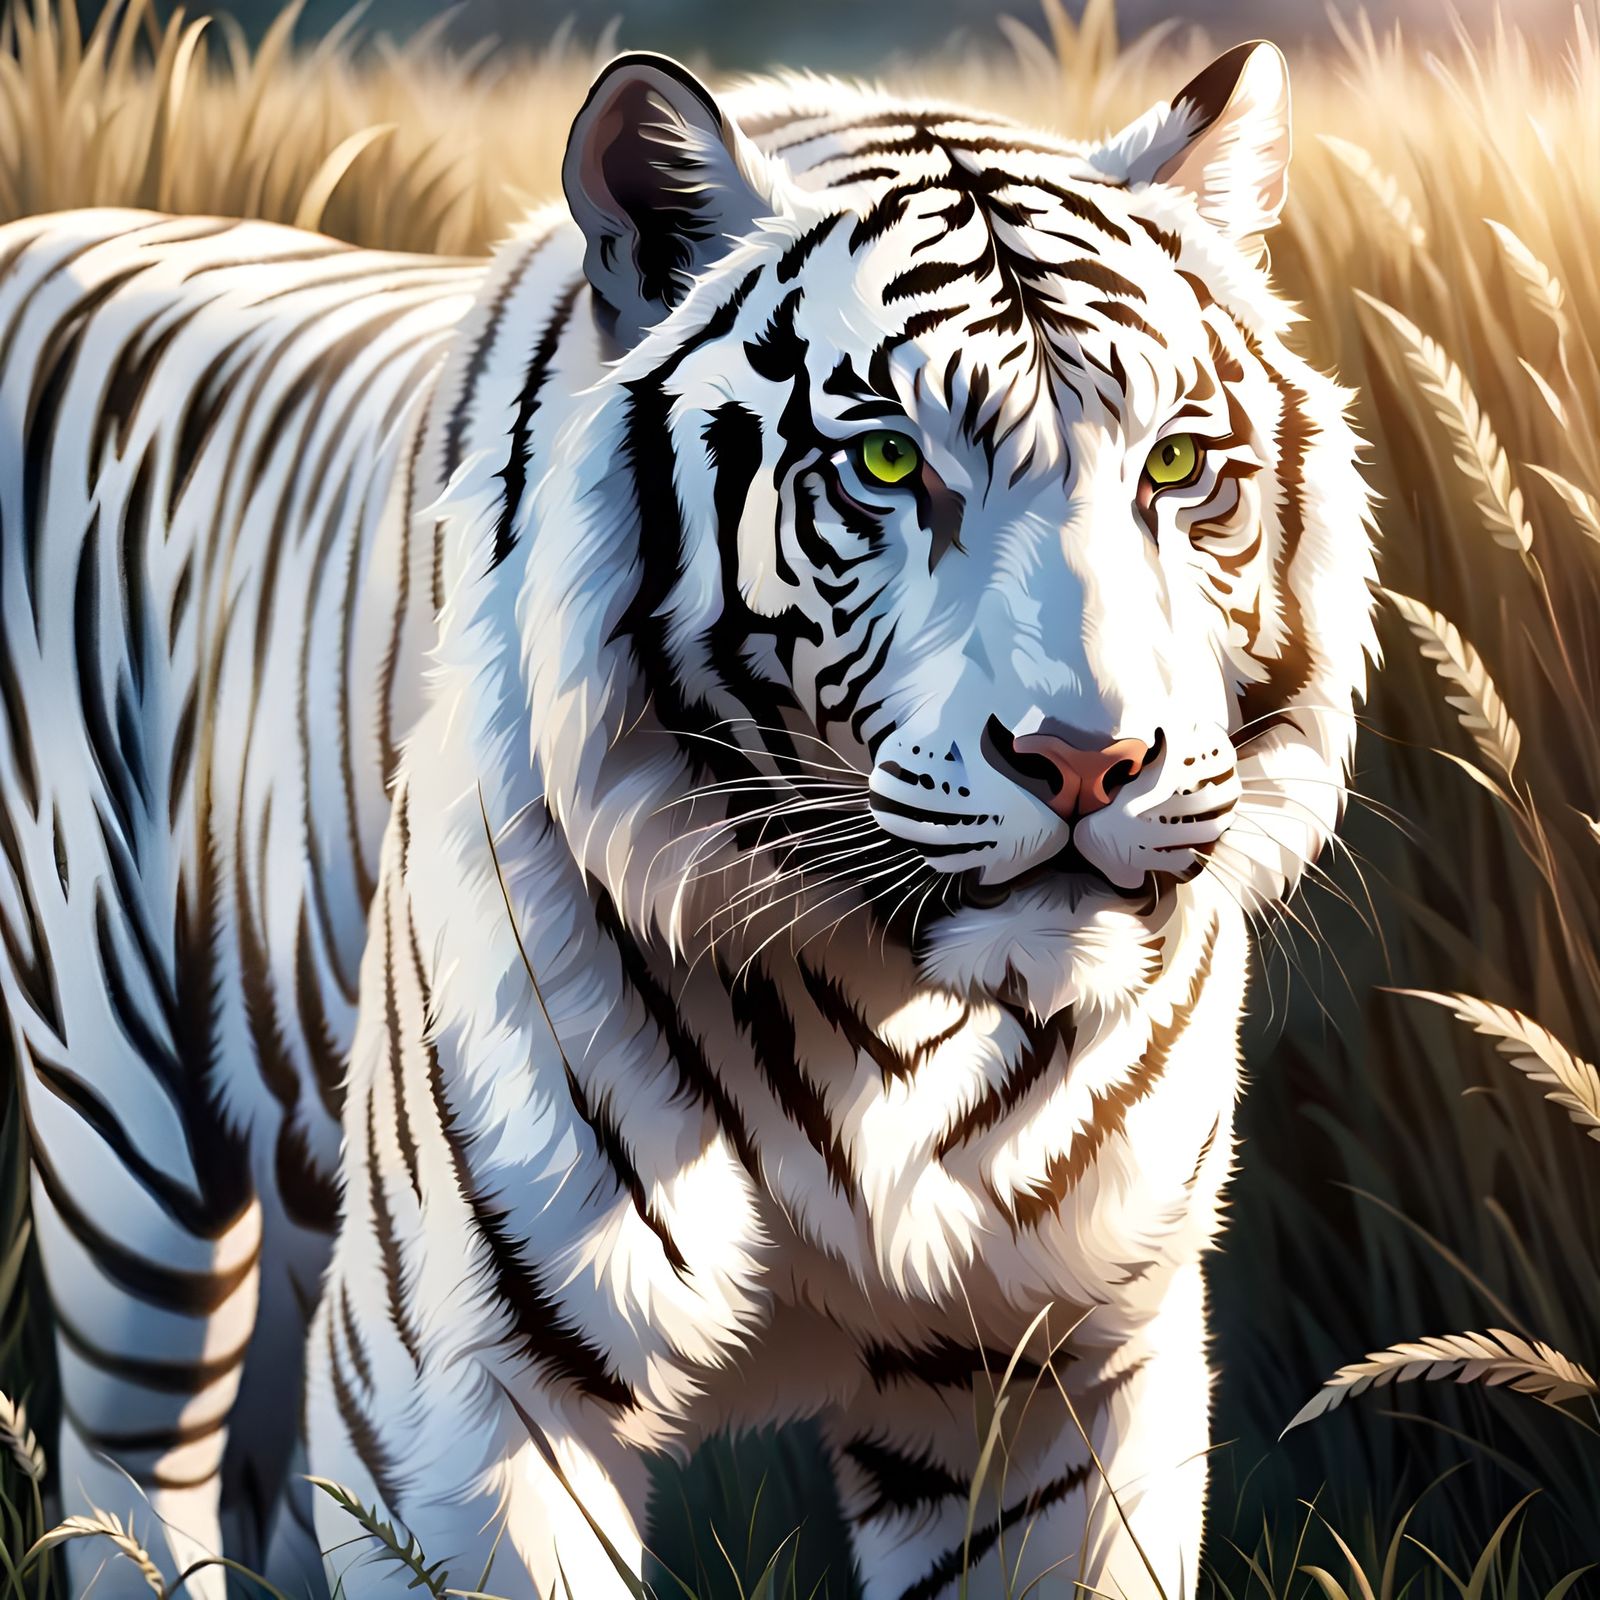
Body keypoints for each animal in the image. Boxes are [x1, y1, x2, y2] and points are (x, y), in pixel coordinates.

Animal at [0, 36, 1376, 1600]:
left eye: (1173, 467)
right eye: (886, 467)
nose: (1089, 760)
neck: (897, 1009)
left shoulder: (1064, 1368)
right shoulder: (462, 1384)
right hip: (128, 1163)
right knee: (132, 1476)